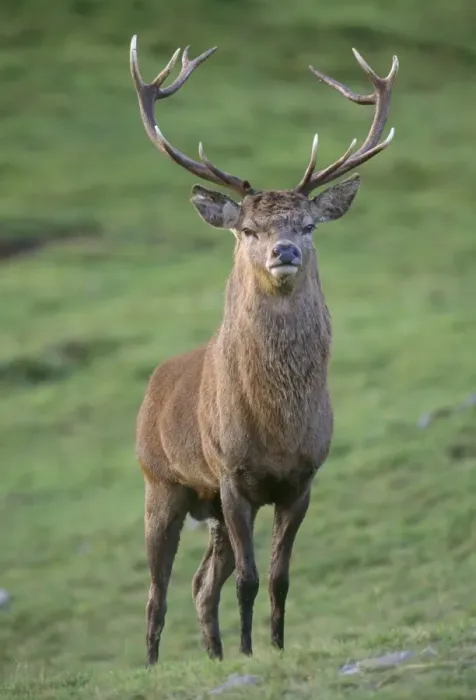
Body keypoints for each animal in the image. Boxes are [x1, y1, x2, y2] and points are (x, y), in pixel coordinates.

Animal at [129, 33, 398, 666]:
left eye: (309, 225)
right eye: (248, 230)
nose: (284, 252)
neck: (277, 427)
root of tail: (154, 384)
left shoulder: (302, 480)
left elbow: (278, 578)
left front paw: (272, 648)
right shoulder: (232, 474)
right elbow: (249, 582)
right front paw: (252, 652)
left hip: (207, 507)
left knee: (201, 584)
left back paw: (214, 655)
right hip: (162, 483)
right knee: (157, 593)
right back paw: (153, 666)